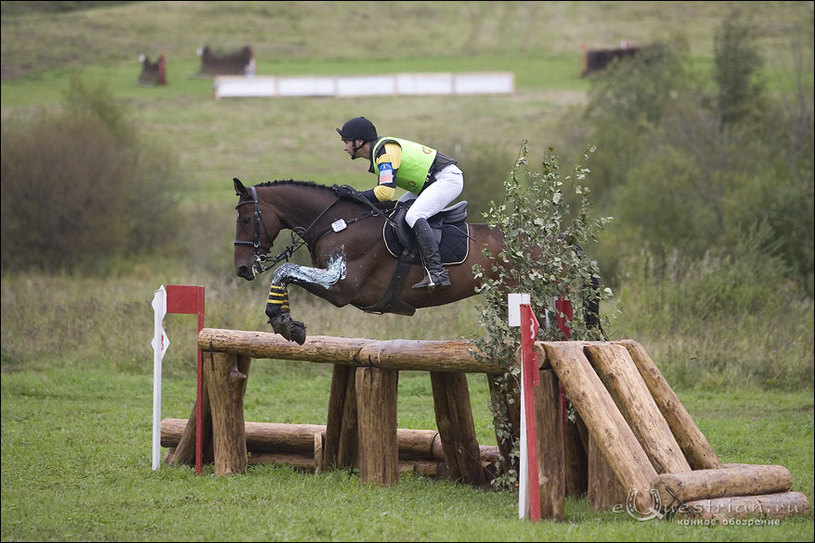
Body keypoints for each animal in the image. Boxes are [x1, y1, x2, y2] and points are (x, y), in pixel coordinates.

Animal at [233, 178, 506, 344]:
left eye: (245, 219)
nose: (242, 268)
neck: (336, 222)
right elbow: (287, 275)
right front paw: (287, 322)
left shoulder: (341, 287)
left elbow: (284, 270)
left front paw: (284, 322)